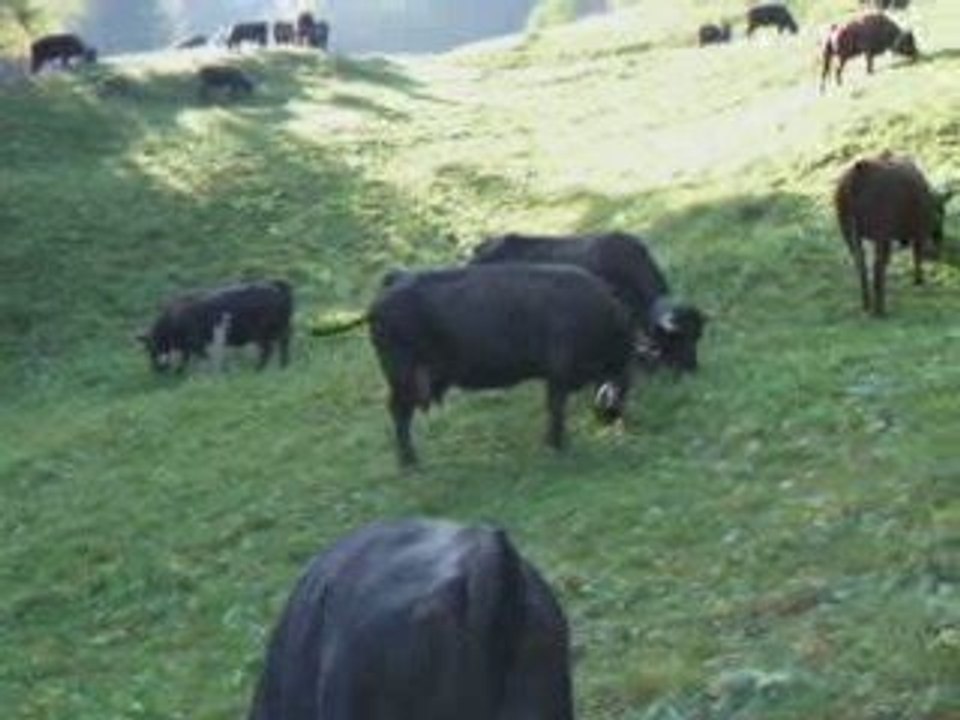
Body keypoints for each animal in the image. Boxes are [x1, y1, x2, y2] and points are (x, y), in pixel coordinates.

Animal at [137, 280, 293, 373]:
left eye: (152, 347)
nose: (156, 370)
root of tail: (276, 286)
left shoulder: (195, 343)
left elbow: (197, 357)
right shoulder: (191, 345)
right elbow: (188, 357)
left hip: (262, 334)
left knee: (268, 350)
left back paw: (259, 369)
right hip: (281, 330)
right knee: (282, 346)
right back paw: (283, 366)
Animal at [369, 264, 633, 466]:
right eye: (625, 382)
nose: (614, 419)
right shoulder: (559, 374)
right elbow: (556, 408)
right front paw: (557, 445)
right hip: (403, 378)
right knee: (399, 413)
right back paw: (410, 463)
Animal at [835, 153, 952, 317]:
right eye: (942, 212)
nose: (940, 237)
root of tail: (858, 172)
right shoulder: (918, 230)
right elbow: (917, 256)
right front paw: (918, 280)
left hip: (847, 229)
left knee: (861, 265)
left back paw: (866, 305)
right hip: (881, 232)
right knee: (877, 267)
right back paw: (879, 309)